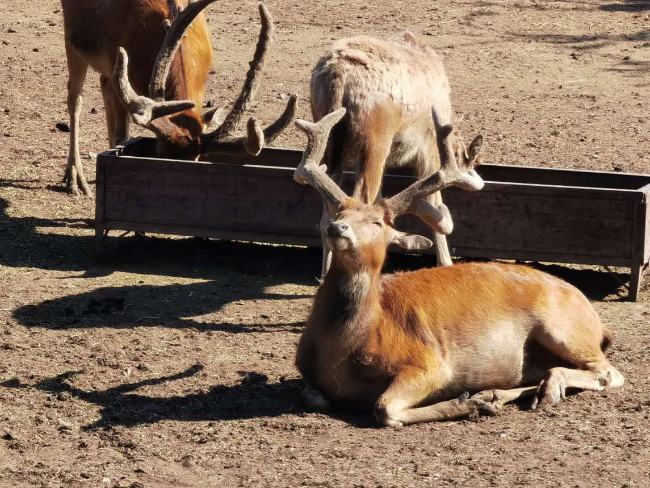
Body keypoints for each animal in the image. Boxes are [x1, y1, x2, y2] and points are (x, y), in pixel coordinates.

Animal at [58, 1, 296, 196]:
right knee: (75, 98)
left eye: (196, 160)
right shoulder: (118, 64)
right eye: (157, 153)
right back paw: (76, 180)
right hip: (73, 39)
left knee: (103, 85)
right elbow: (121, 136)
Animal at [292, 107, 624, 428]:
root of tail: (597, 321)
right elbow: (313, 397)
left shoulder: (429, 361)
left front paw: (464, 404)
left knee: (609, 373)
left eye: (377, 223)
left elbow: (383, 408)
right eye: (339, 212)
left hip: (563, 328)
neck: (346, 349)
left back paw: (543, 391)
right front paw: (475, 401)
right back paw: (498, 394)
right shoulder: (307, 372)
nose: (337, 227)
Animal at [308, 32, 480, 278]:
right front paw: (445, 262)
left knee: (328, 211)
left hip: (330, 142)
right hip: (375, 141)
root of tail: (338, 74)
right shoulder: (430, 151)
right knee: (361, 198)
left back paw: (325, 274)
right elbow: (436, 205)